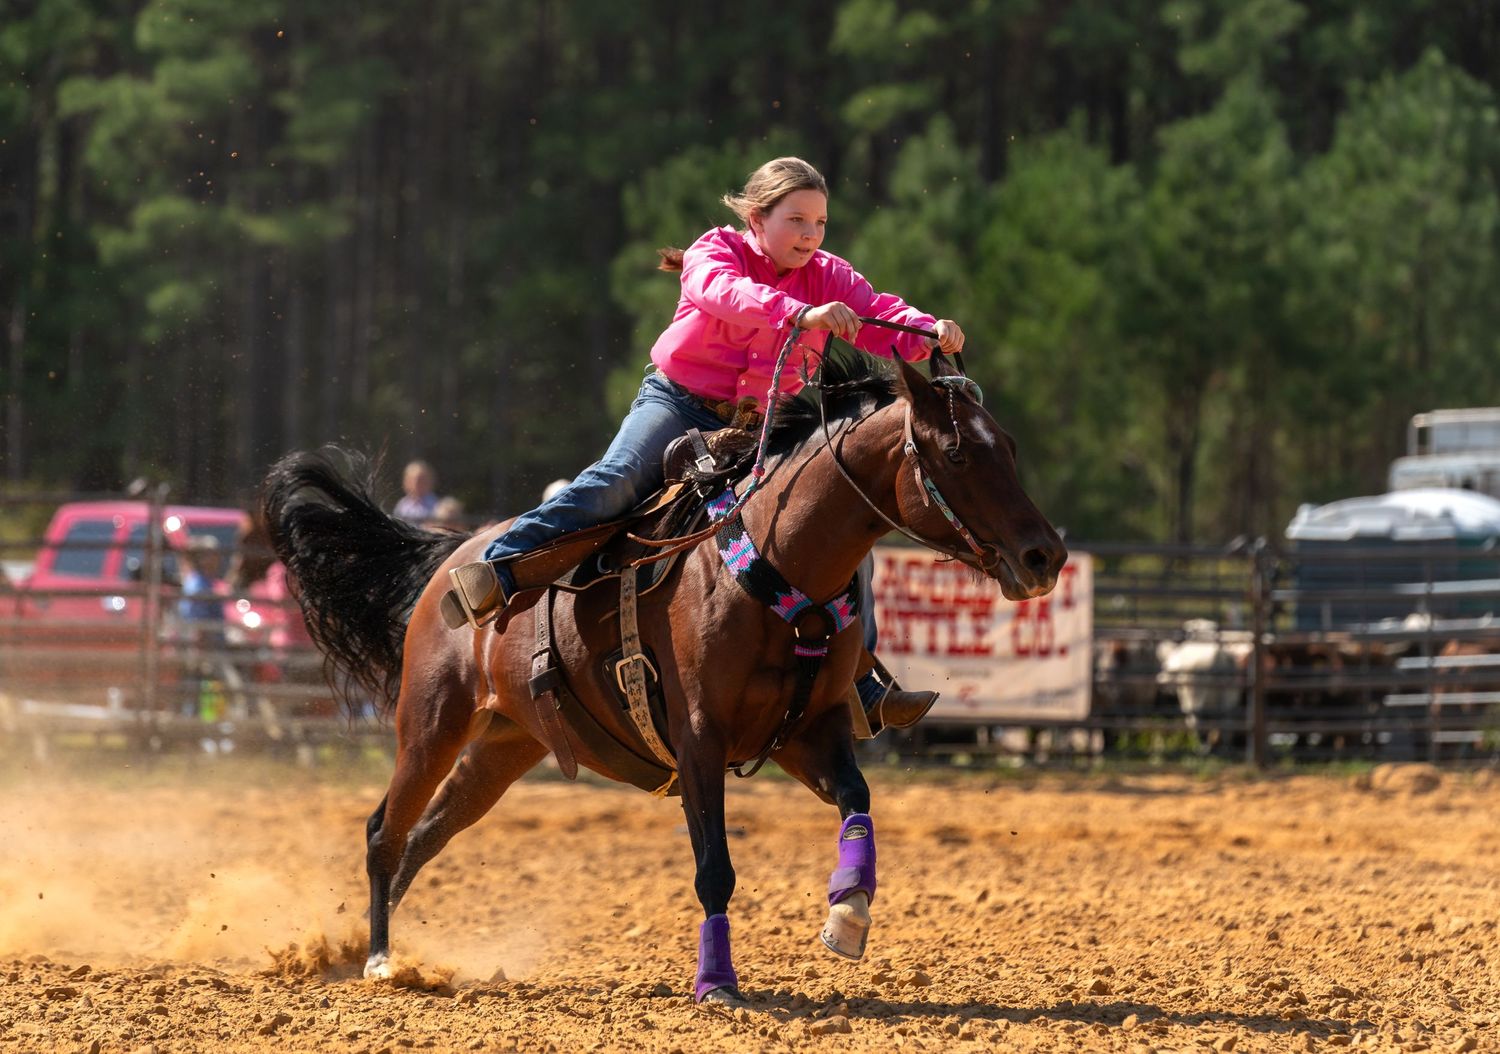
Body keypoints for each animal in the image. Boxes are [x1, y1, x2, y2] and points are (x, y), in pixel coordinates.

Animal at [260, 350, 1067, 1004]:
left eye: (1009, 447)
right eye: (956, 452)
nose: (1045, 555)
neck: (776, 563)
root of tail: (450, 557)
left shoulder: (807, 733)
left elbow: (858, 802)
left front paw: (847, 915)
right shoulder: (699, 736)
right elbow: (715, 868)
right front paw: (717, 984)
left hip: (504, 746)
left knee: (427, 834)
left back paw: (379, 952)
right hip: (432, 720)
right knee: (385, 830)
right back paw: (377, 961)